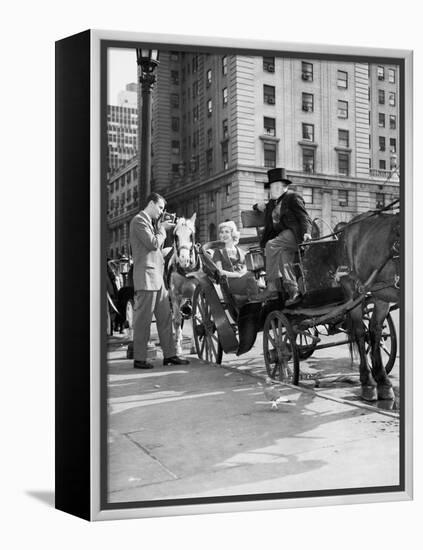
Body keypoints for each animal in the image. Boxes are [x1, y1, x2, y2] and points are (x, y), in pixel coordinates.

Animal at [340, 210, 402, 402]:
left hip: (381, 294)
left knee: (374, 330)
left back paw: (382, 380)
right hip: (356, 290)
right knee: (361, 332)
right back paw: (367, 381)